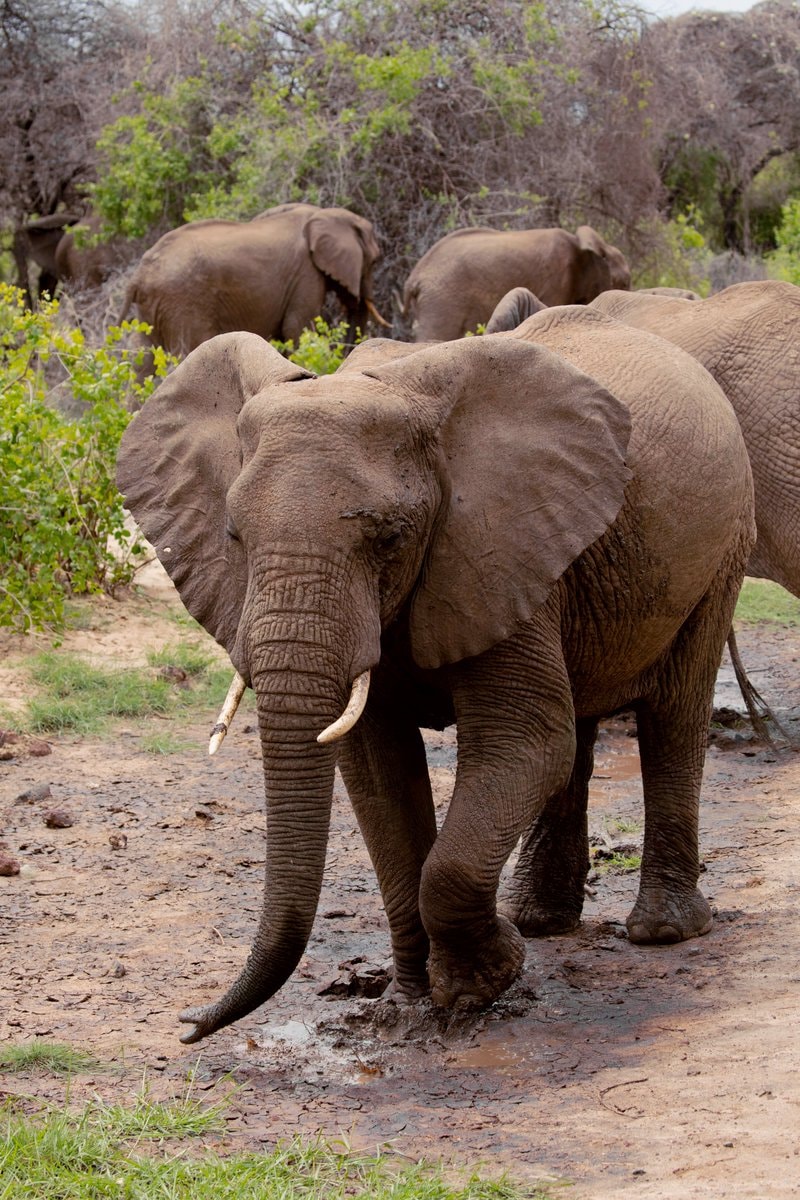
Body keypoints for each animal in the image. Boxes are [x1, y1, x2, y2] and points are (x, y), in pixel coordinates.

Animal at [116, 304, 754, 1044]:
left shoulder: (492, 543)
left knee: (674, 711)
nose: (187, 1025)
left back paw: (661, 932)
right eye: (233, 537)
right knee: (583, 729)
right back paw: (542, 920)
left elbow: (522, 743)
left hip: (723, 543)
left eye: (389, 537)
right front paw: (409, 1003)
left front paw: (485, 980)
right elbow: (377, 769)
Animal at [118, 202, 388, 360]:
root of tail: (138, 275)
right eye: (375, 261)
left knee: (141, 360)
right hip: (183, 304)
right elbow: (297, 329)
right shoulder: (305, 275)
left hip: (153, 308)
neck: (323, 214)